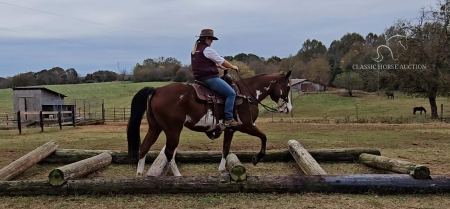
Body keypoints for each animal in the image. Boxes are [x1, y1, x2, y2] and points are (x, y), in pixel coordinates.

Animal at [126, 70, 294, 176]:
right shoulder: (247, 125)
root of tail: (157, 90)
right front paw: (256, 159)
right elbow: (264, 137)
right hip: (173, 131)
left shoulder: (230, 130)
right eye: (288, 87)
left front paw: (222, 169)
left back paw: (139, 173)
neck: (247, 94)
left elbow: (225, 149)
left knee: (144, 146)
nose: (289, 108)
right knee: (169, 152)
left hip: (155, 127)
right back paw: (178, 175)